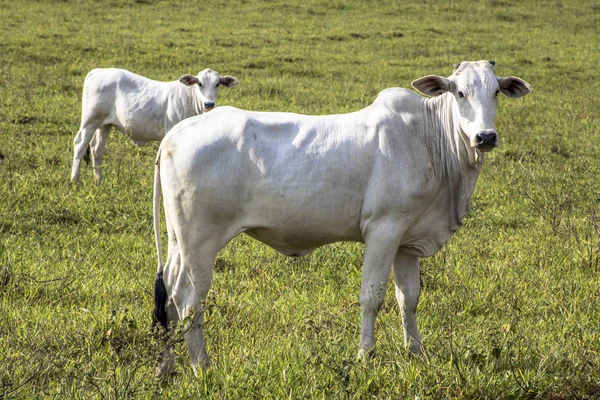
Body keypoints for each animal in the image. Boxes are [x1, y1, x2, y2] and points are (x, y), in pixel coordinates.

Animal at [70, 68, 239, 184]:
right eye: (200, 83)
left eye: (217, 84)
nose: (209, 104)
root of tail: (97, 71)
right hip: (90, 120)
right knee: (80, 144)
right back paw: (75, 180)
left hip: (105, 125)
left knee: (96, 149)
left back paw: (99, 180)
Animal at [152, 60, 532, 376]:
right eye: (460, 92)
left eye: (496, 91)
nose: (485, 136)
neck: (427, 138)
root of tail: (175, 133)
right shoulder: (384, 230)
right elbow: (372, 297)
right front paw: (365, 355)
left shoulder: (407, 242)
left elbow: (408, 298)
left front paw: (416, 352)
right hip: (200, 241)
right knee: (190, 302)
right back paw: (202, 366)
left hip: (178, 241)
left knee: (168, 295)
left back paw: (166, 366)